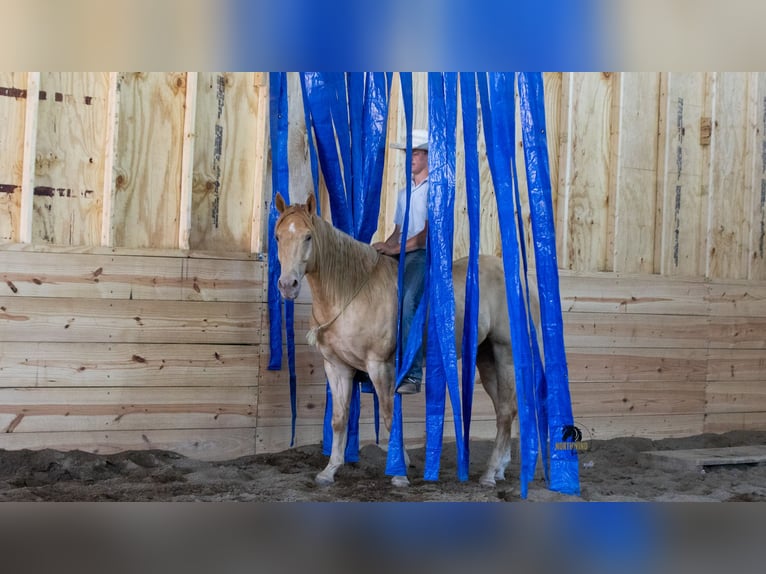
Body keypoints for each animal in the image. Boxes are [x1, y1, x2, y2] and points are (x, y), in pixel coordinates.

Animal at [274, 192, 519, 487]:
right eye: (277, 237)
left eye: (308, 236)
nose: (287, 285)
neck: (350, 292)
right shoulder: (336, 367)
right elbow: (339, 419)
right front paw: (329, 470)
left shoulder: (380, 366)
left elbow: (390, 417)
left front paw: (399, 472)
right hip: (486, 359)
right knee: (506, 410)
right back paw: (499, 469)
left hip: (505, 355)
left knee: (505, 412)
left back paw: (489, 475)